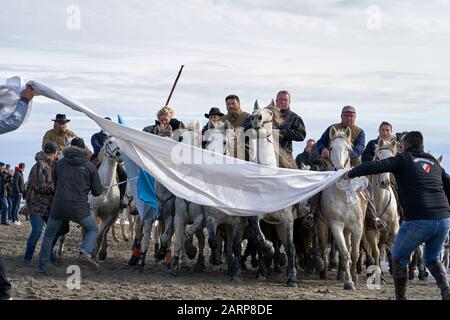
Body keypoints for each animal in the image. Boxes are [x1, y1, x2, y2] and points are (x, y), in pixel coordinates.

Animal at [318, 127, 368, 290]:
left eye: (348, 149)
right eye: (331, 148)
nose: (339, 169)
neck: (344, 194)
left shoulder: (358, 227)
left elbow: (354, 253)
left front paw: (354, 277)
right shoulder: (336, 226)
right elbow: (345, 253)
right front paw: (349, 282)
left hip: (348, 229)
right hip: (322, 226)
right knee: (323, 248)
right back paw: (326, 273)